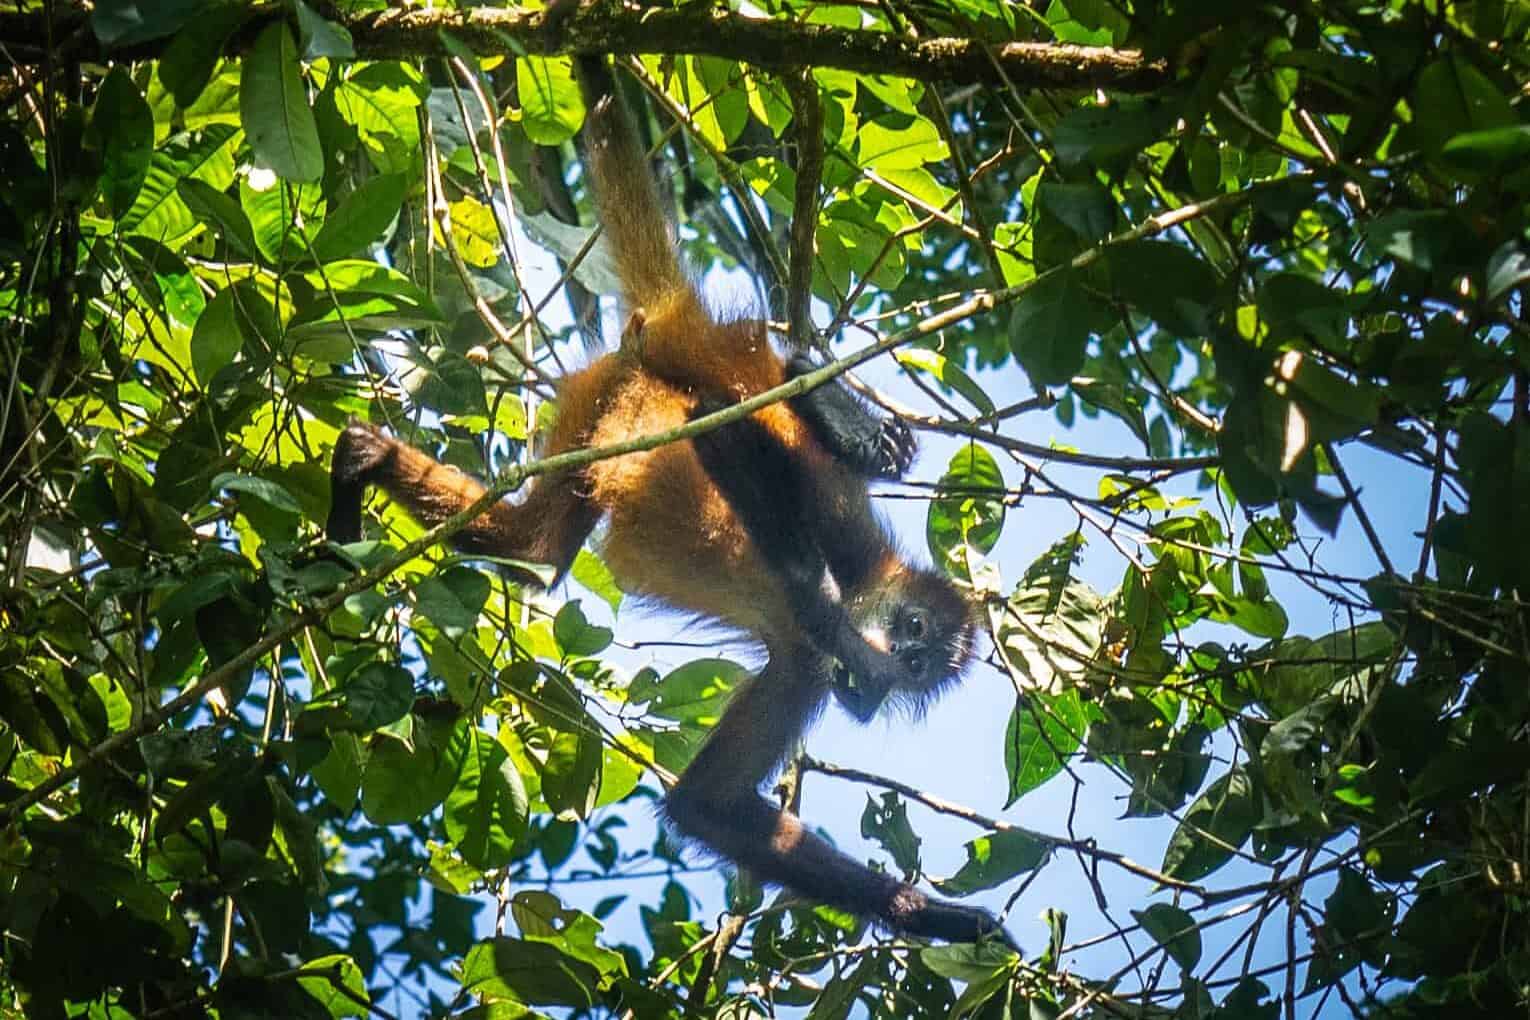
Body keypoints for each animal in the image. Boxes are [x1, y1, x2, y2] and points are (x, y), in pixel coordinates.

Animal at [327, 56, 1004, 944]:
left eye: (922, 670)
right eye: (915, 634)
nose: (894, 667)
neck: (864, 588)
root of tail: (673, 321)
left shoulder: (800, 673)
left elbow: (707, 807)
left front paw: (941, 917)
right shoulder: (845, 556)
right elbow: (736, 459)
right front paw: (849, 640)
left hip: (600, 392)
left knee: (535, 551)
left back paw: (371, 466)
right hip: (686, 362)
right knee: (741, 386)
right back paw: (831, 403)